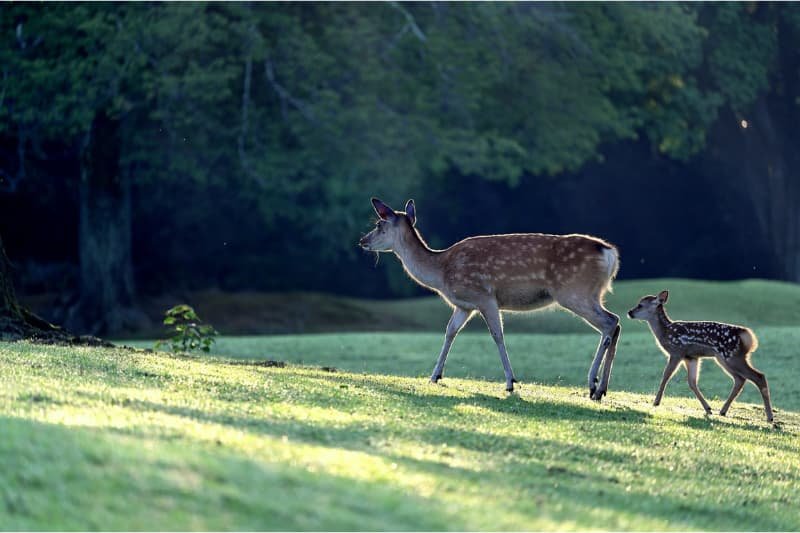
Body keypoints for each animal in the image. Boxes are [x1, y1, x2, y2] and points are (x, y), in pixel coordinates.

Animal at [360, 197, 620, 396]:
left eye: (380, 225)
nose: (362, 241)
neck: (442, 272)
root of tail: (609, 254)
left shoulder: (484, 296)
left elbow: (497, 335)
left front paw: (510, 382)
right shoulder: (464, 305)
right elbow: (450, 332)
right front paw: (434, 376)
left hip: (574, 291)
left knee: (610, 322)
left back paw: (593, 385)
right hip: (591, 294)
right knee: (615, 322)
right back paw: (602, 388)